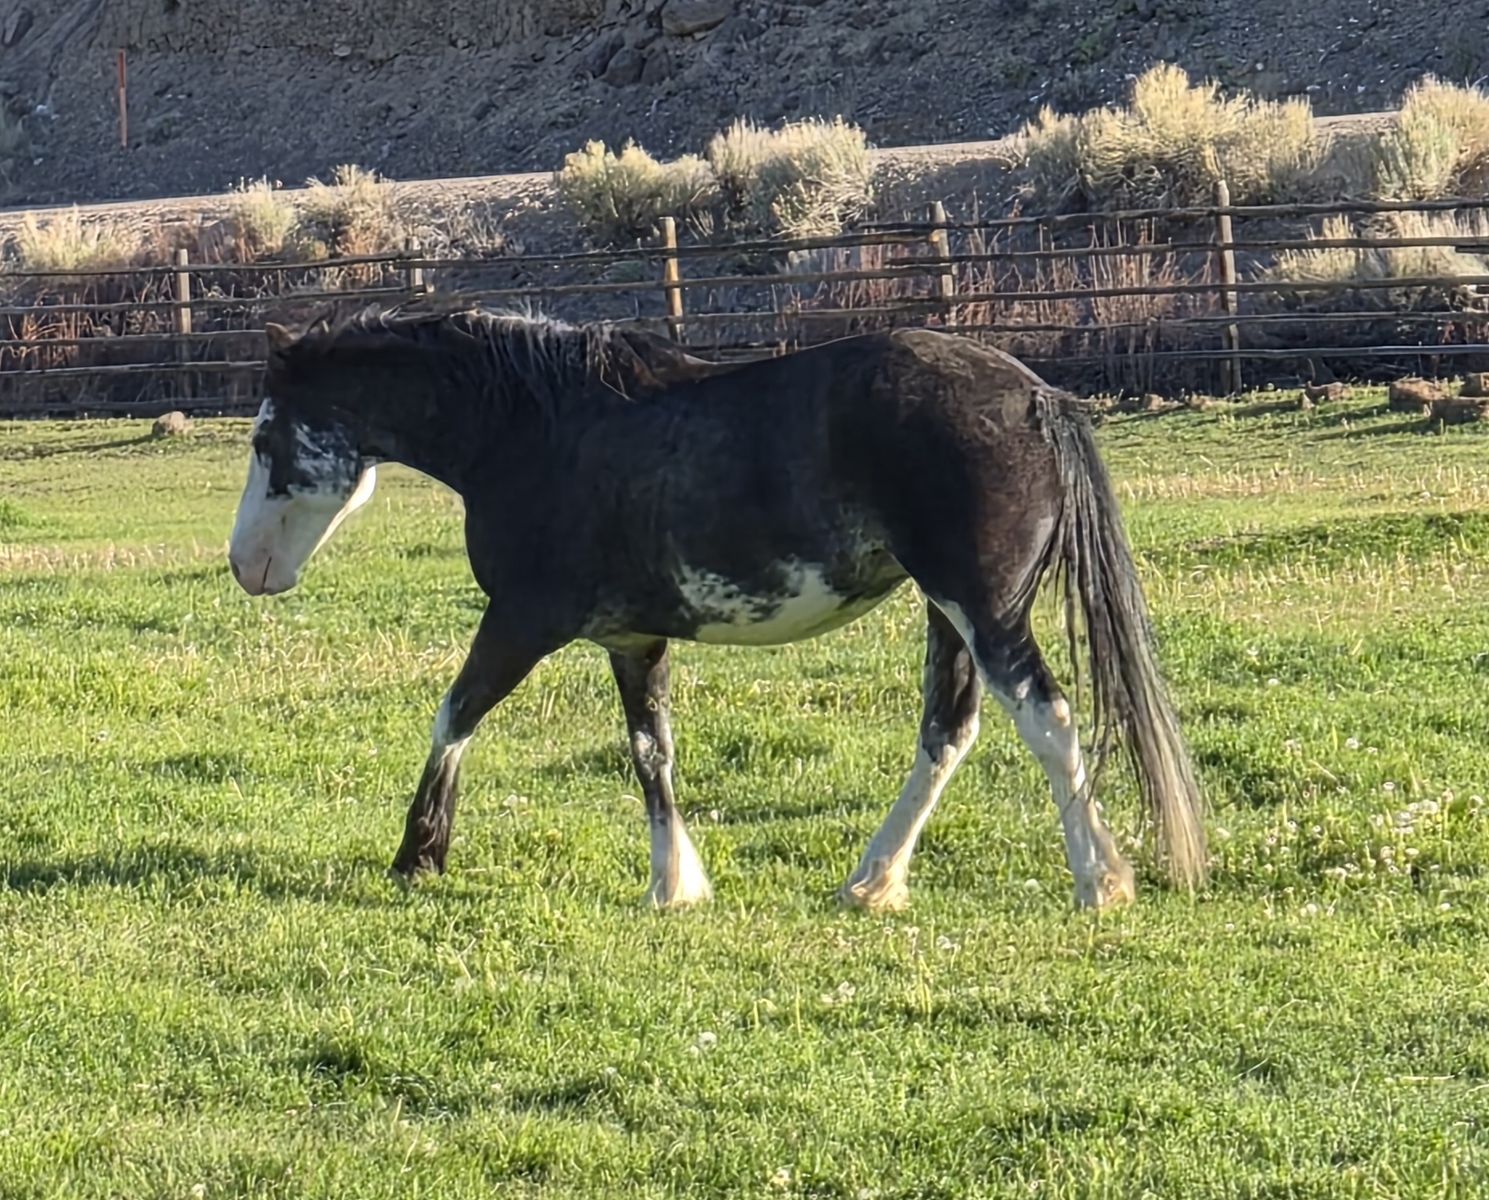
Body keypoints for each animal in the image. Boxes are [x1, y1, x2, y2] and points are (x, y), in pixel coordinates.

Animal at [227, 307, 1206, 912]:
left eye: (265, 436)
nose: (246, 567)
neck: (536, 429)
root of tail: (1035, 397)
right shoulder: (632, 638)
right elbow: (649, 751)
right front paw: (673, 885)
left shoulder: (522, 621)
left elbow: (453, 715)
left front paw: (419, 853)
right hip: (949, 614)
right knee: (948, 733)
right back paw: (871, 880)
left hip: (983, 607)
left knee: (1047, 719)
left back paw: (1098, 881)